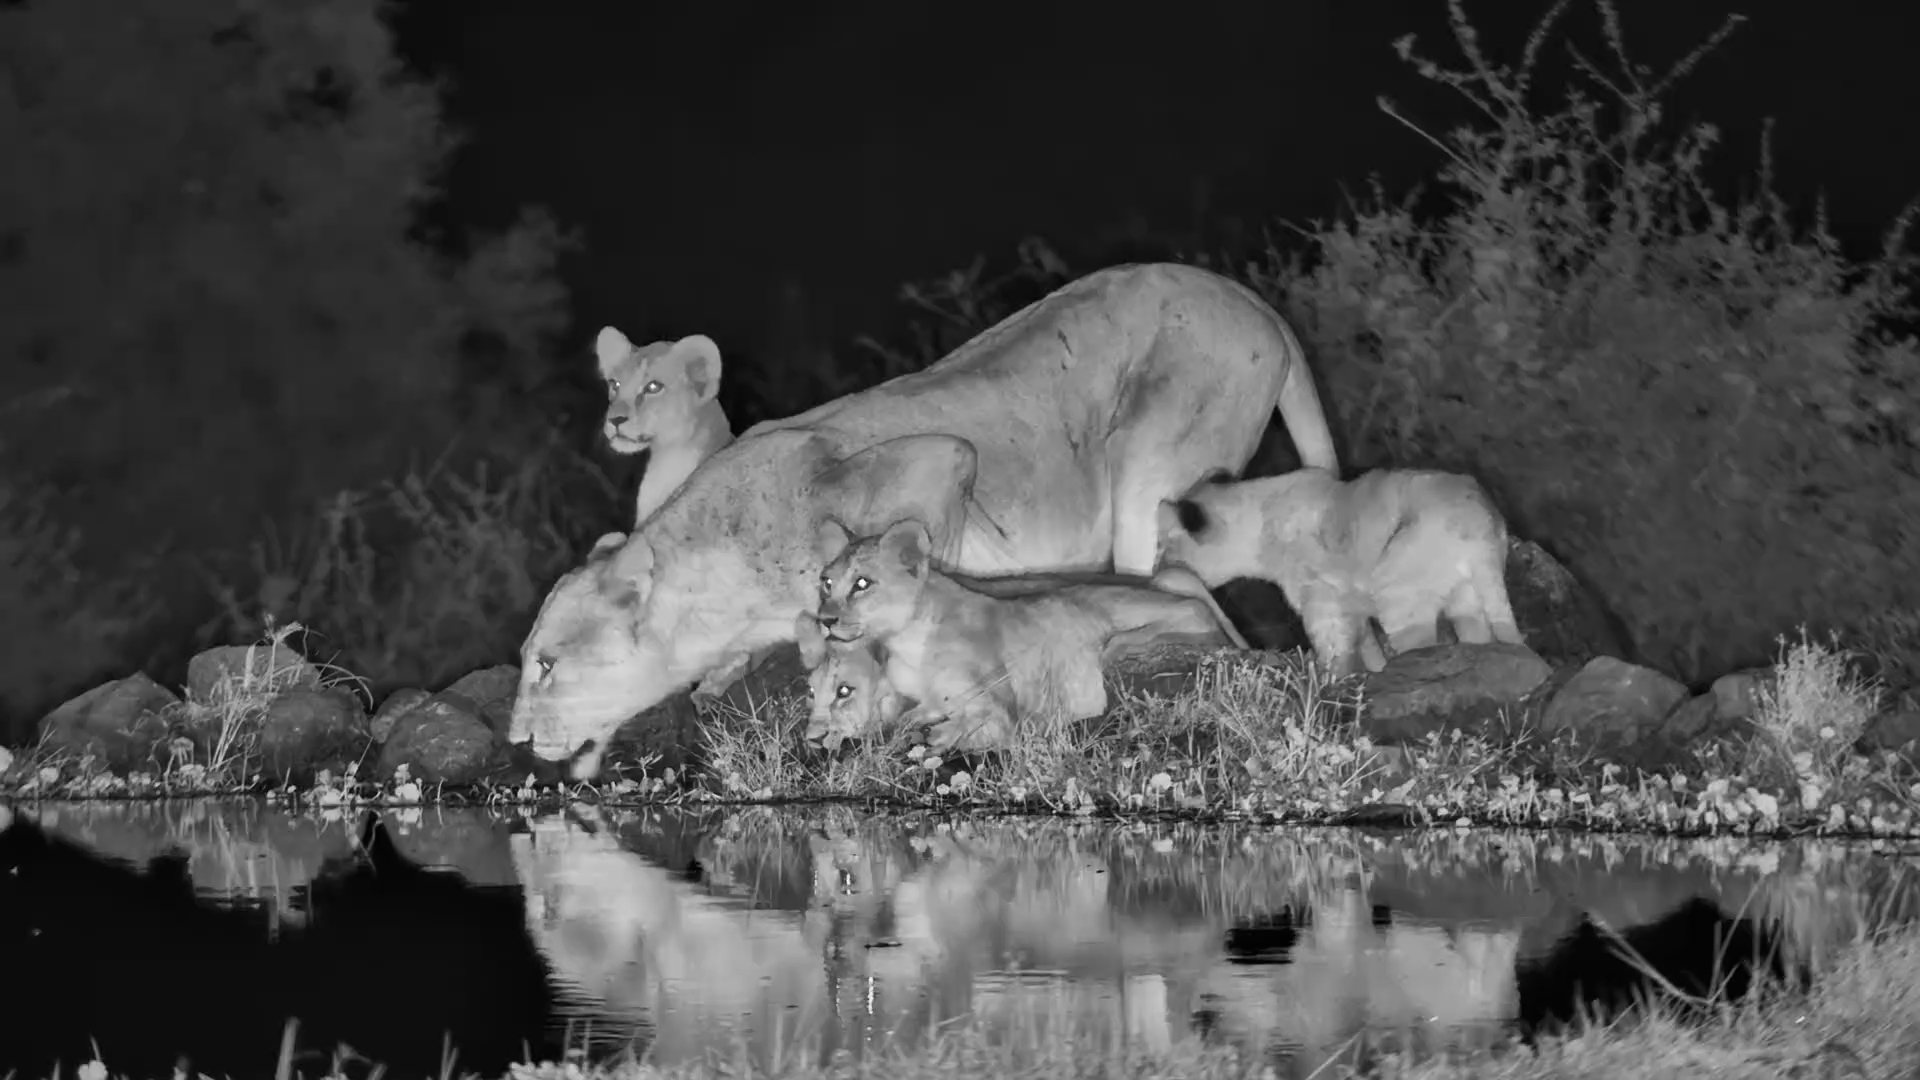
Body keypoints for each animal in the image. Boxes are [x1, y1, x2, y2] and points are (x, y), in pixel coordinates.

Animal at [812, 516, 1248, 751]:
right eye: (826, 582)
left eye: (863, 584)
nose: (824, 619)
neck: (905, 643)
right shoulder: (926, 698)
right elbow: (905, 718)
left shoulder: (999, 710)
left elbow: (974, 729)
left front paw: (932, 736)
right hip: (1173, 576)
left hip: (1118, 645)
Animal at [1154, 466, 1524, 677]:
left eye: (1163, 548)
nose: (1155, 570)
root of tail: (1482, 520)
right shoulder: (1353, 613)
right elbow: (1369, 655)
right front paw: (1367, 679)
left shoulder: (1322, 606)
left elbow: (1333, 657)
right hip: (1466, 605)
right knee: (1480, 641)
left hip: (1399, 598)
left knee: (1421, 649)